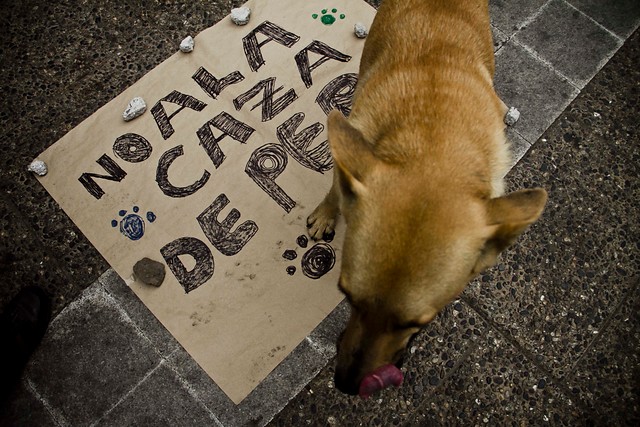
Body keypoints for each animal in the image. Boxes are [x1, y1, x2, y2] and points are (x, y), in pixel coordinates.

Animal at [308, 0, 548, 398]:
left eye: (417, 323)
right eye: (346, 295)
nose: (345, 385)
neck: (433, 138)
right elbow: (335, 187)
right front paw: (327, 213)